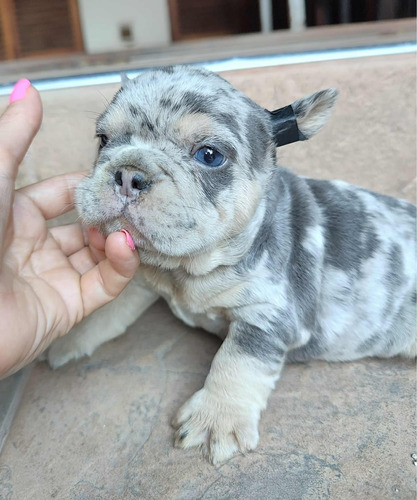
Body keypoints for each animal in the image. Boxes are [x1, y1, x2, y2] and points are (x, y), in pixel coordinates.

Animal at [48, 64, 412, 462]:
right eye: (102, 139)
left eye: (209, 155)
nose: (129, 174)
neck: (185, 268)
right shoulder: (143, 277)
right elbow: (112, 308)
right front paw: (73, 337)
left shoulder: (268, 313)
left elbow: (237, 360)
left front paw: (215, 418)